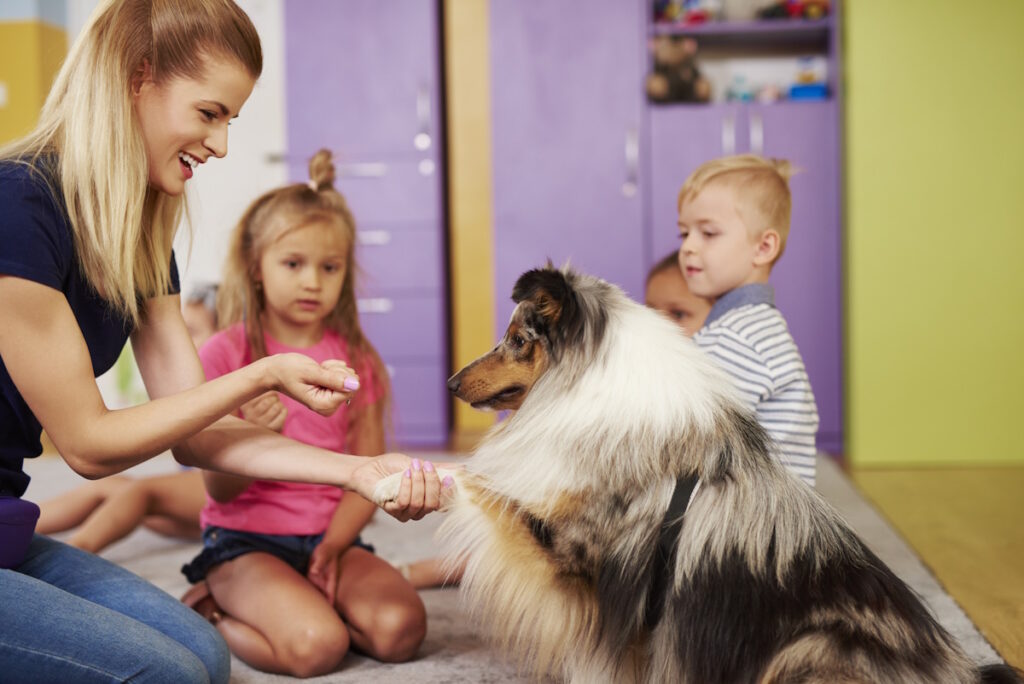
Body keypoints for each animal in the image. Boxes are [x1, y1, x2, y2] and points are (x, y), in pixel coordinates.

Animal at [376, 266, 1015, 684]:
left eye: (515, 340)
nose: (451, 382)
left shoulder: (571, 552)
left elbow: (474, 481)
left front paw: (397, 480)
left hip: (807, 649)